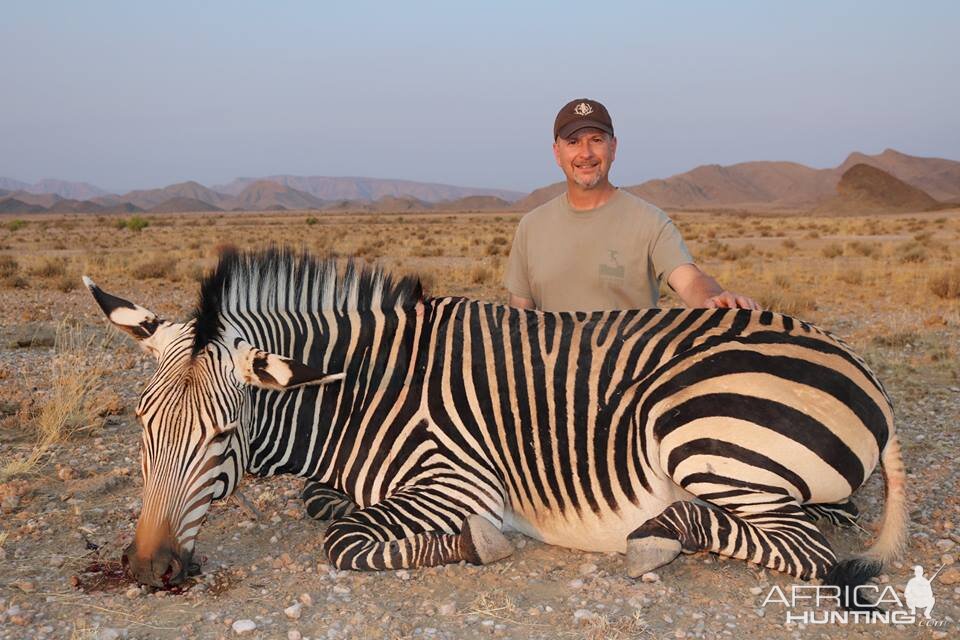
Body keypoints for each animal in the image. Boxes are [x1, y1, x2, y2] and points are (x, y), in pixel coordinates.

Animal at [86, 246, 904, 604]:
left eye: (221, 437)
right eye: (142, 428)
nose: (148, 570)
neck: (358, 393)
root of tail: (860, 369)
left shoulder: (456, 480)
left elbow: (342, 539)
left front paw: (479, 543)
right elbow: (324, 502)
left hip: (696, 430)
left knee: (805, 551)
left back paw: (657, 536)